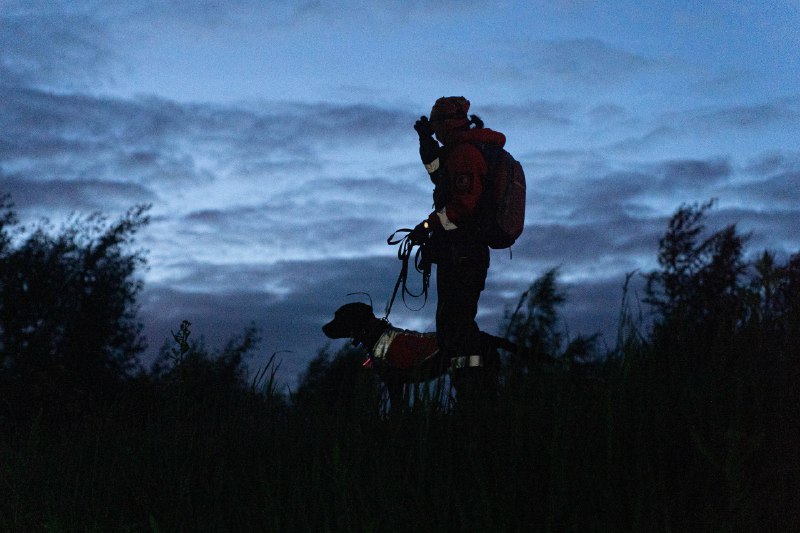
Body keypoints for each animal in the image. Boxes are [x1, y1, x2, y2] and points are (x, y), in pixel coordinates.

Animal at [322, 302, 516, 410]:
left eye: (339, 315)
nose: (323, 328)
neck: (374, 333)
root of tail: (489, 337)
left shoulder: (394, 381)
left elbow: (397, 407)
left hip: (471, 374)